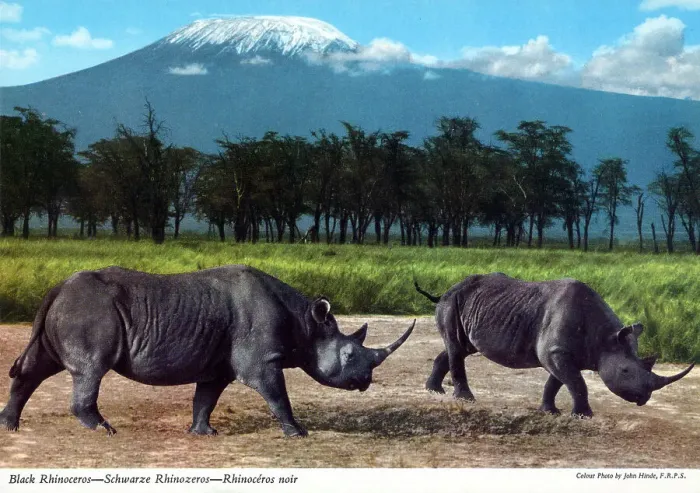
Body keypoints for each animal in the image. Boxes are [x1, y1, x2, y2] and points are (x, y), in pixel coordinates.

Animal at [0, 265, 414, 437]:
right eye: (349, 355)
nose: (365, 381)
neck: (307, 322)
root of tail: (57, 287)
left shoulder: (219, 364)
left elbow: (206, 397)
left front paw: (203, 433)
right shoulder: (260, 360)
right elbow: (277, 395)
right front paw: (299, 433)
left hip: (71, 309)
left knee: (39, 366)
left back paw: (9, 425)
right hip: (89, 311)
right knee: (91, 368)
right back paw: (104, 431)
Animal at [414, 273, 694, 417]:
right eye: (626, 371)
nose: (644, 398)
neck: (605, 339)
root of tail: (446, 290)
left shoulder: (561, 352)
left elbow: (558, 382)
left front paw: (550, 411)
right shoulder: (555, 351)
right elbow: (577, 383)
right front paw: (584, 416)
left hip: (469, 305)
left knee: (459, 347)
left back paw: (434, 391)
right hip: (453, 301)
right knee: (456, 347)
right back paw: (466, 399)